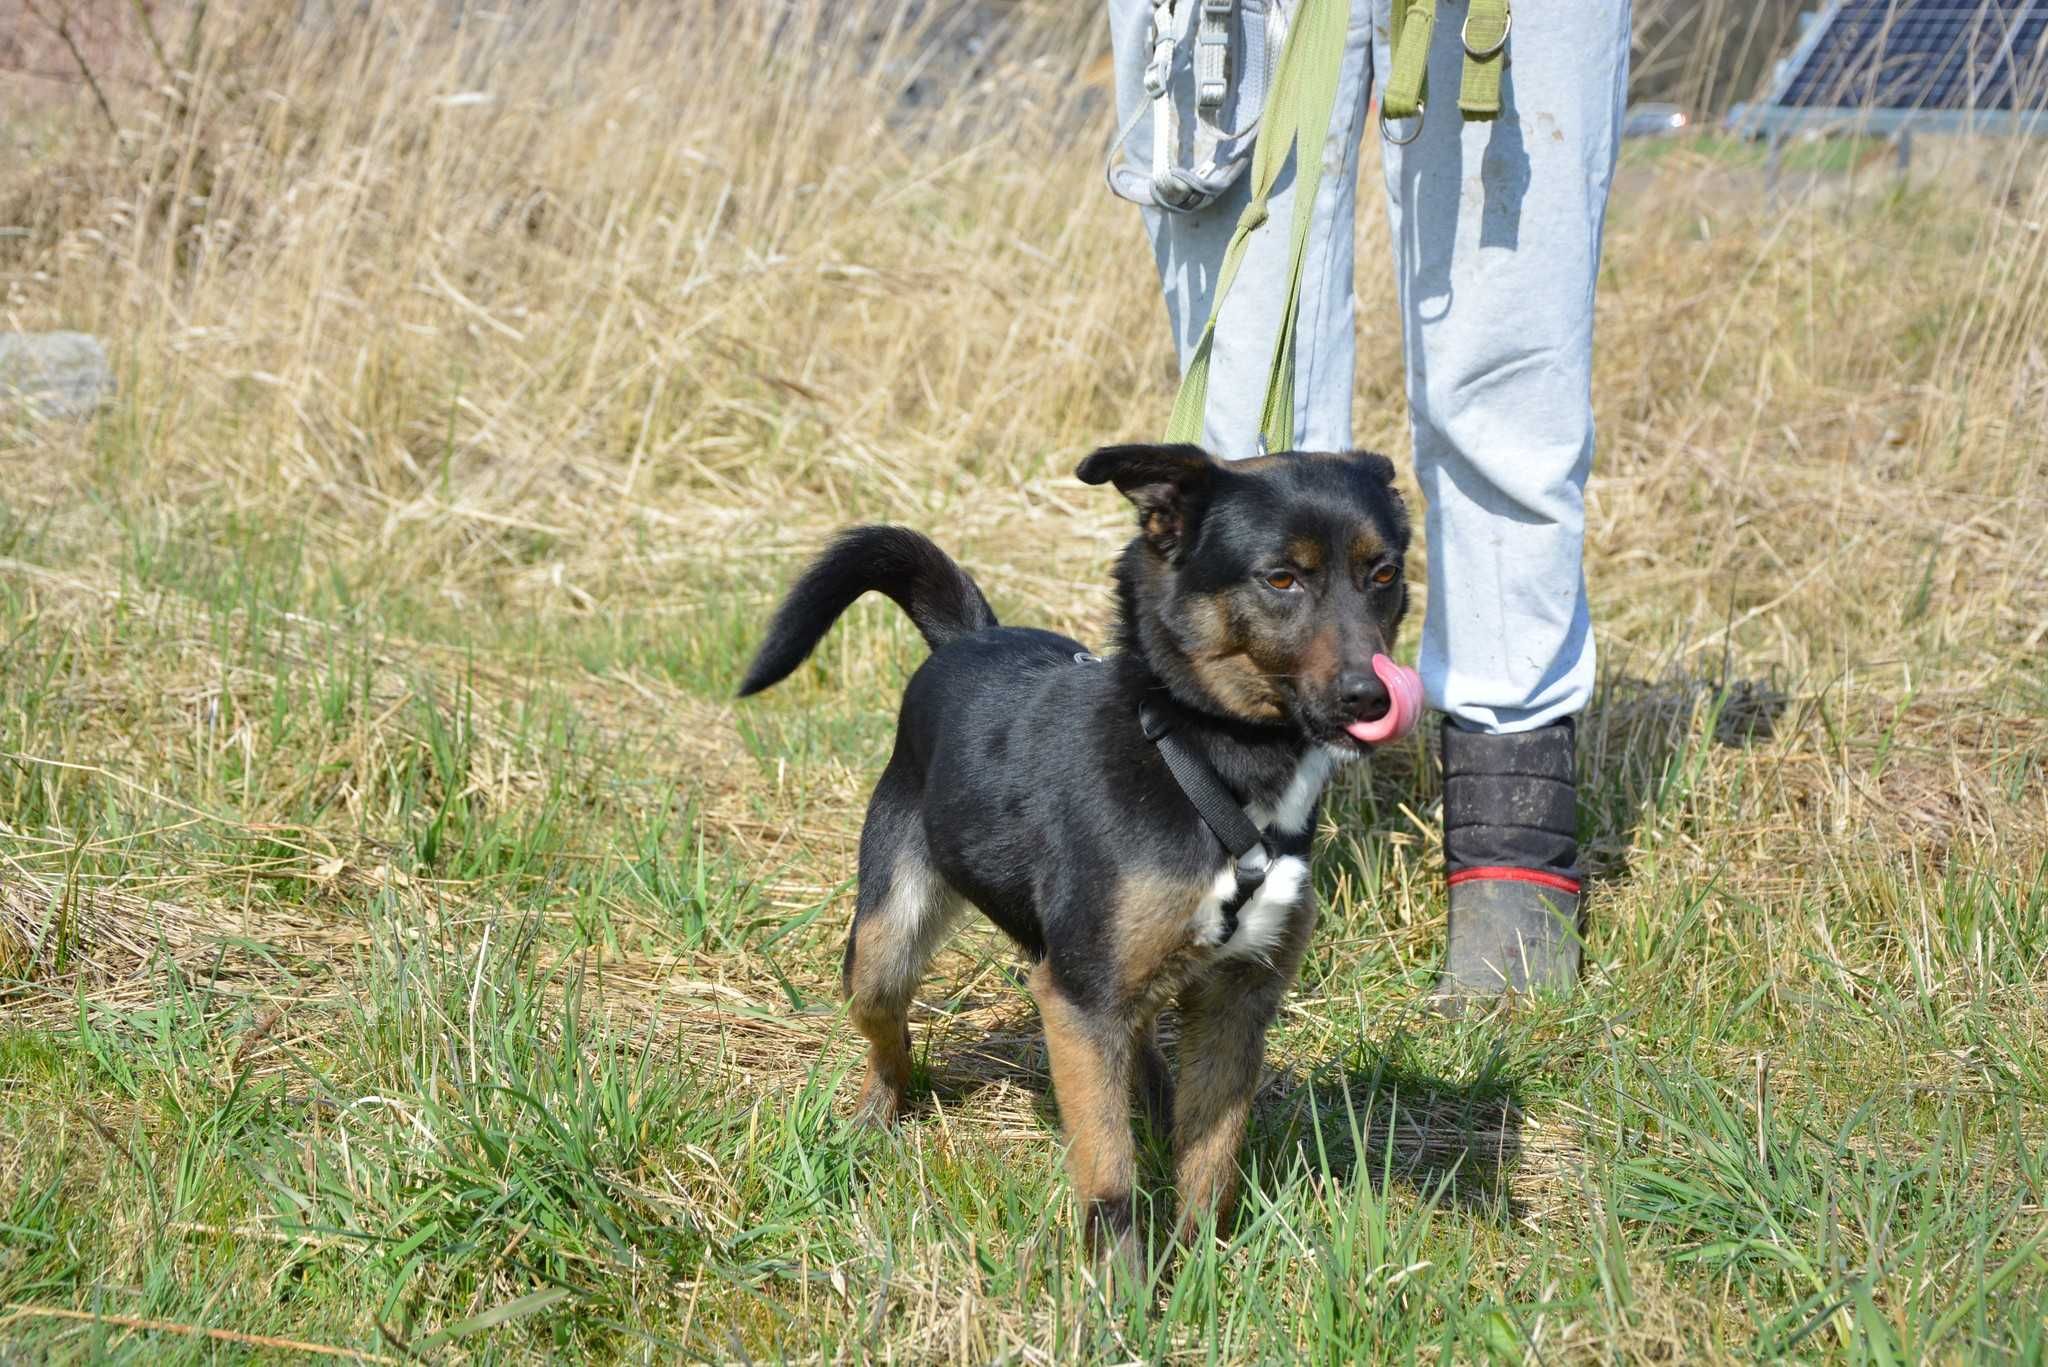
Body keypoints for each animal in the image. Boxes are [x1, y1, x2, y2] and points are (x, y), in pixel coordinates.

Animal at [737, 444, 1409, 1270]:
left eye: (1384, 573)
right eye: (1282, 578)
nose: (1372, 697)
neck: (1204, 761)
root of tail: (968, 637)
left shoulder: (1235, 998)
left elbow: (1211, 1158)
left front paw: (1199, 1268)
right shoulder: (1078, 998)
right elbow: (1109, 1174)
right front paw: (1123, 1286)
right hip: (886, 942)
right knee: (890, 1036)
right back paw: (874, 1119)